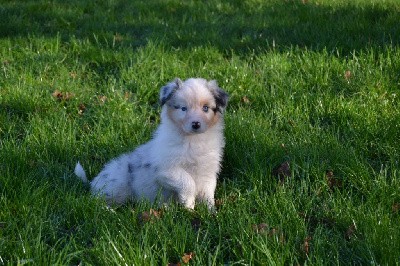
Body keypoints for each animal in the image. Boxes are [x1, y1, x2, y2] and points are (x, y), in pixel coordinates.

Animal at [75, 77, 230, 210]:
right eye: (183, 108)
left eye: (206, 108)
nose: (196, 124)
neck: (193, 140)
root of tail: (93, 183)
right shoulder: (166, 169)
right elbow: (187, 181)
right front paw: (189, 206)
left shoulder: (208, 172)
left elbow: (208, 194)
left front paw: (211, 213)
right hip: (118, 183)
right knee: (98, 201)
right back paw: (109, 210)